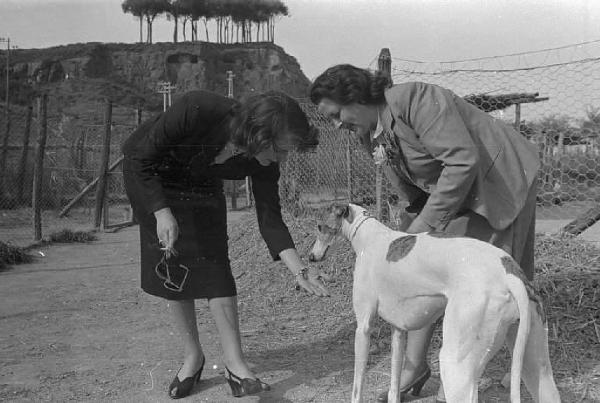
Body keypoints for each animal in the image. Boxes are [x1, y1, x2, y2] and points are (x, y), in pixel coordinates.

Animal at [310, 205, 564, 403]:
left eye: (320, 226)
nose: (312, 257)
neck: (369, 237)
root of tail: (509, 271)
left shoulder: (363, 328)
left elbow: (357, 385)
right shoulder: (398, 330)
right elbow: (394, 386)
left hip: (455, 366)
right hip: (537, 368)